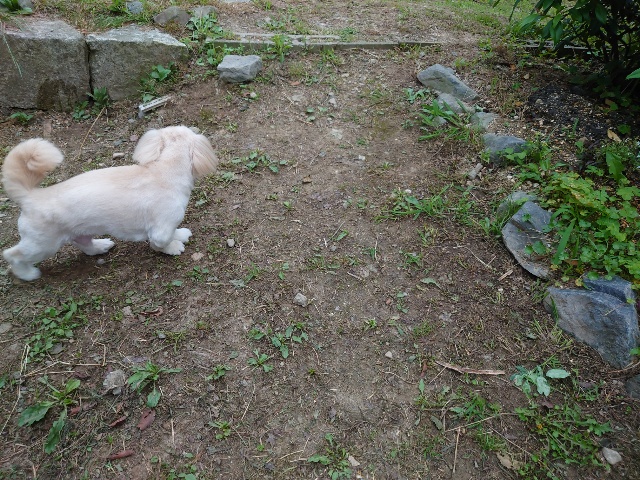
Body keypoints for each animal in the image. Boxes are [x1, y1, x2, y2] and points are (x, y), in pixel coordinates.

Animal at [2, 125, 218, 281]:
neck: (164, 171)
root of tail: (31, 196)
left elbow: (175, 231)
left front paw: (180, 234)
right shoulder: (161, 229)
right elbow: (162, 242)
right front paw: (173, 247)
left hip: (77, 232)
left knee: (82, 243)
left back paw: (100, 246)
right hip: (42, 244)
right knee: (12, 254)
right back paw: (27, 274)